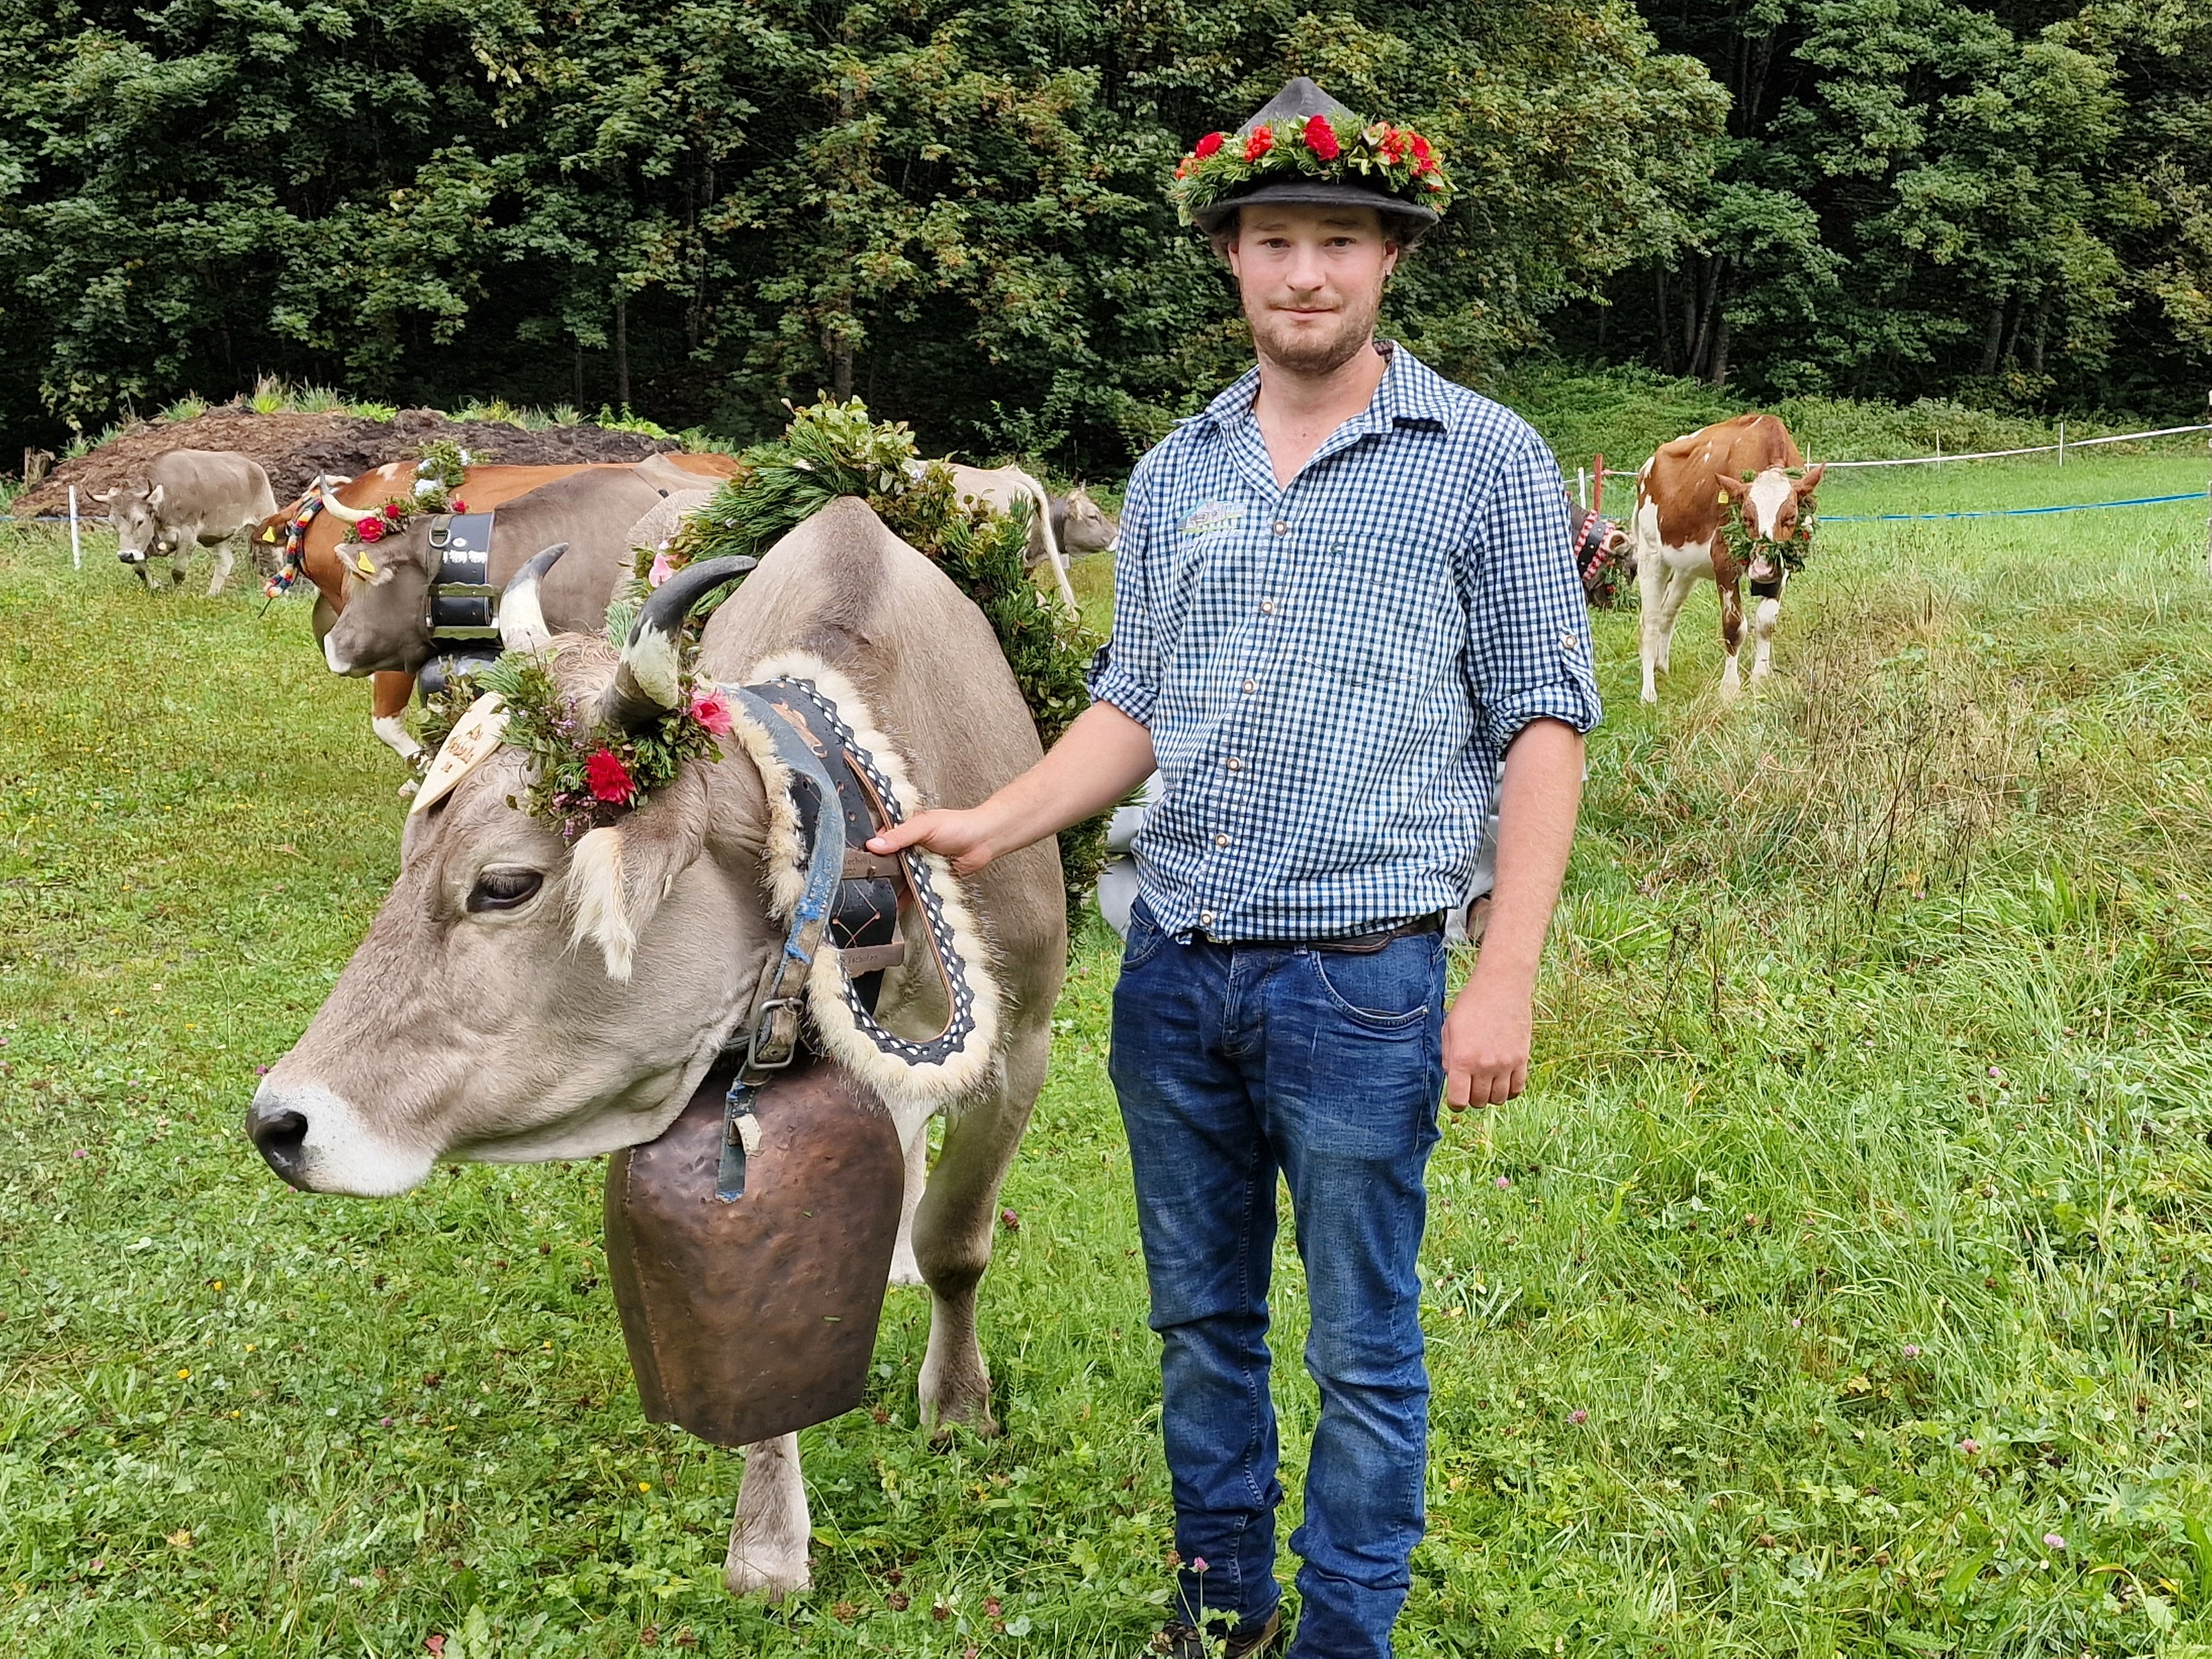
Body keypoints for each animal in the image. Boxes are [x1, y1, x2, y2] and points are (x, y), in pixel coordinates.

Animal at [1628, 418, 1832, 703]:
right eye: (1746, 518)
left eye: (1791, 518)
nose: (1762, 568)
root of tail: (1647, 466)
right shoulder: (1723, 559)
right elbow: (1734, 626)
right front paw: (1730, 687)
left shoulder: (1784, 567)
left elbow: (1766, 622)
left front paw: (1761, 679)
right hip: (1651, 556)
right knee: (1651, 623)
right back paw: (1649, 693)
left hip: (1685, 569)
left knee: (1668, 611)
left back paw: (1662, 667)